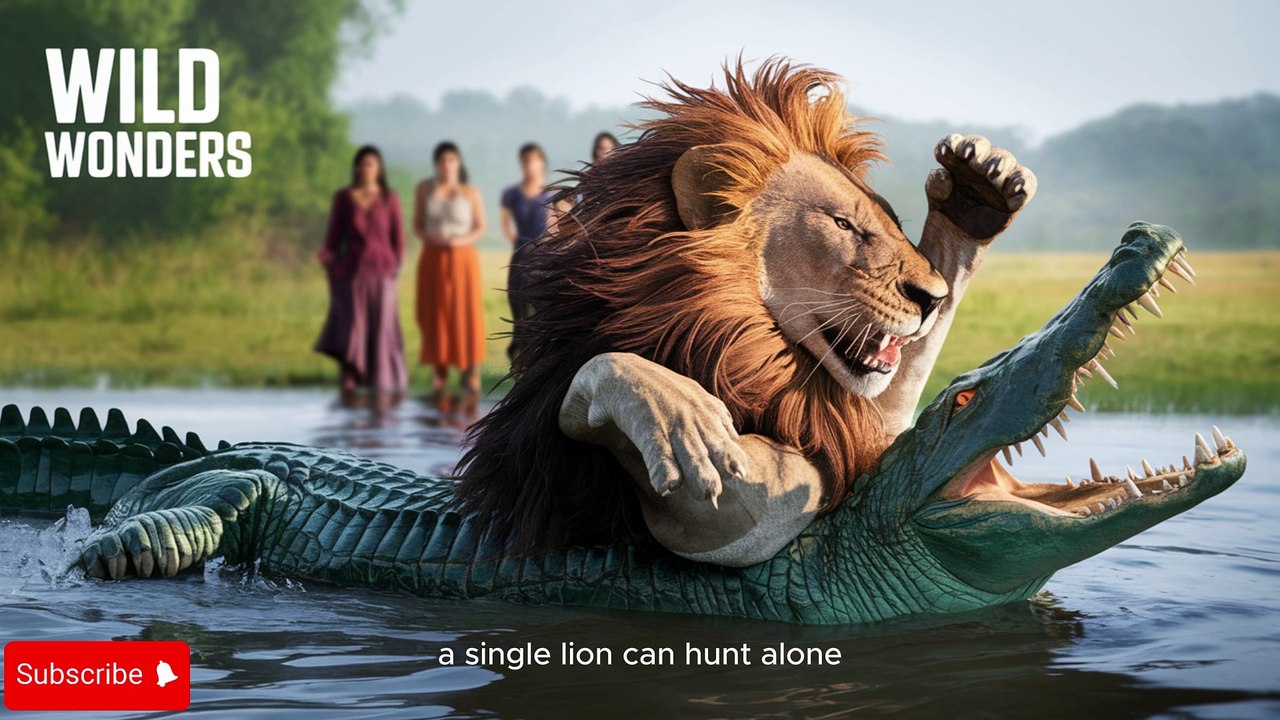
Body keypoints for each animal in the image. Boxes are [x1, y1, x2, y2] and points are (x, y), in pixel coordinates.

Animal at [456, 59, 1036, 566]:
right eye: (844, 225)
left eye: (892, 221)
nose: (932, 296)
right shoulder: (725, 521)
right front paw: (680, 416)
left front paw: (976, 191)